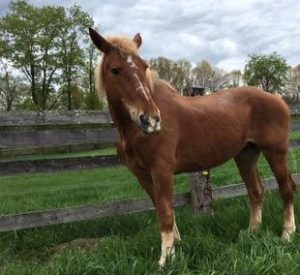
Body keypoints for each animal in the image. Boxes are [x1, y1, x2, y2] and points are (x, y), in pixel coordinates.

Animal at [88, 28, 296, 268]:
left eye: (144, 67)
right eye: (115, 69)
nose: (151, 119)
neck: (132, 132)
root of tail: (279, 99)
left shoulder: (161, 171)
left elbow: (165, 213)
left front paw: (165, 260)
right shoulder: (142, 175)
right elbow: (161, 208)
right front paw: (175, 247)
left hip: (276, 152)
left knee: (287, 189)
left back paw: (287, 233)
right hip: (246, 156)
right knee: (256, 191)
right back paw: (252, 232)